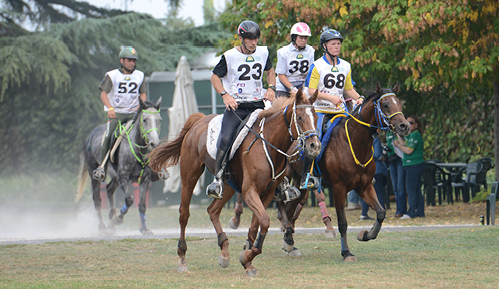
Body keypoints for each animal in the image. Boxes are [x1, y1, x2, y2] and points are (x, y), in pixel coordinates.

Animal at [148, 89, 320, 274]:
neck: (269, 142)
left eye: (317, 117)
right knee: (184, 214)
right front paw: (248, 255)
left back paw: (224, 252)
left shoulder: (267, 194)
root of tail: (199, 120)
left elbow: (255, 226)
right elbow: (264, 221)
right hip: (190, 176)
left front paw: (247, 259)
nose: (315, 146)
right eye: (300, 117)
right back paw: (182, 257)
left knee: (213, 210)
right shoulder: (249, 192)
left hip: (228, 185)